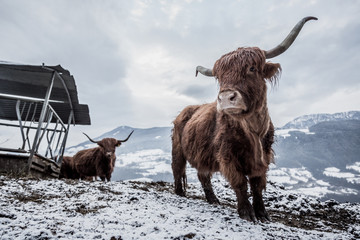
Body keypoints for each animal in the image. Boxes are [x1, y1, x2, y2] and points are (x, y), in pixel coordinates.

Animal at [170, 16, 316, 222]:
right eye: (219, 77)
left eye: (252, 68)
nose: (225, 97)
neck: (253, 128)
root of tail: (185, 111)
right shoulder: (227, 155)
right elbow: (240, 182)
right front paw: (247, 213)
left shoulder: (264, 156)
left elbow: (257, 184)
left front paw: (262, 213)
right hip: (178, 149)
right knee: (177, 168)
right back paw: (180, 193)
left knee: (203, 175)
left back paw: (213, 199)